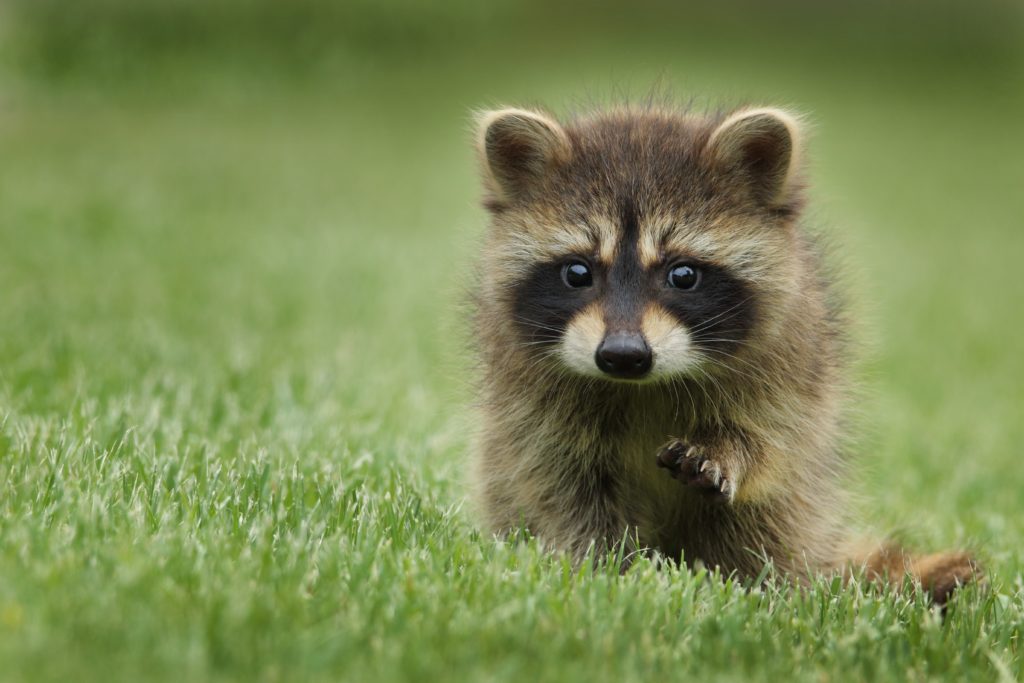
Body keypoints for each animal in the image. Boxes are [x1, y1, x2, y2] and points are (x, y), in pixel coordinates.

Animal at [469, 102, 979, 603]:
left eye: (683, 275)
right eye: (577, 272)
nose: (623, 355)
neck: (644, 386)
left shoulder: (792, 360)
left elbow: (772, 440)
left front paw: (729, 450)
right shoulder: (531, 401)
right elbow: (561, 484)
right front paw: (606, 568)